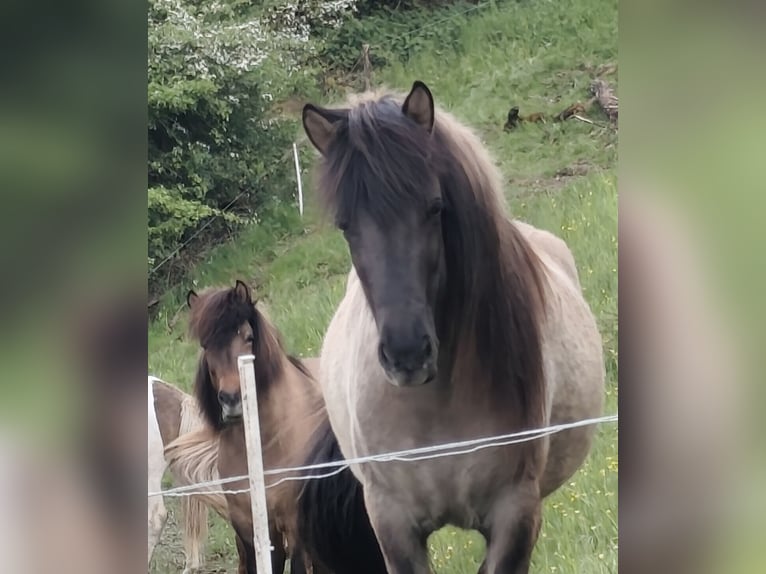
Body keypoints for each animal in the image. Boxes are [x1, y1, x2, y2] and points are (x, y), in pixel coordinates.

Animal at [176, 280, 386, 574]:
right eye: (206, 345)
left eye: (248, 337)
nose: (231, 399)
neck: (264, 445)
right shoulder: (250, 528)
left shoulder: (293, 526)